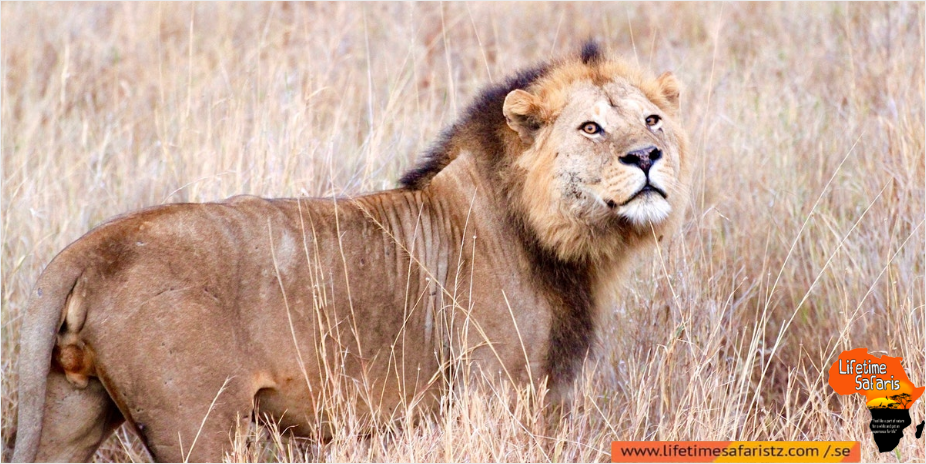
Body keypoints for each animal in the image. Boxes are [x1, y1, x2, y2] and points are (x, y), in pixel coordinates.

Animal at [12, 43, 691, 462]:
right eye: (591, 128)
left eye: (652, 120)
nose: (646, 156)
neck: (561, 244)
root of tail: (92, 246)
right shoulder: (494, 396)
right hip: (198, 423)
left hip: (70, 411)